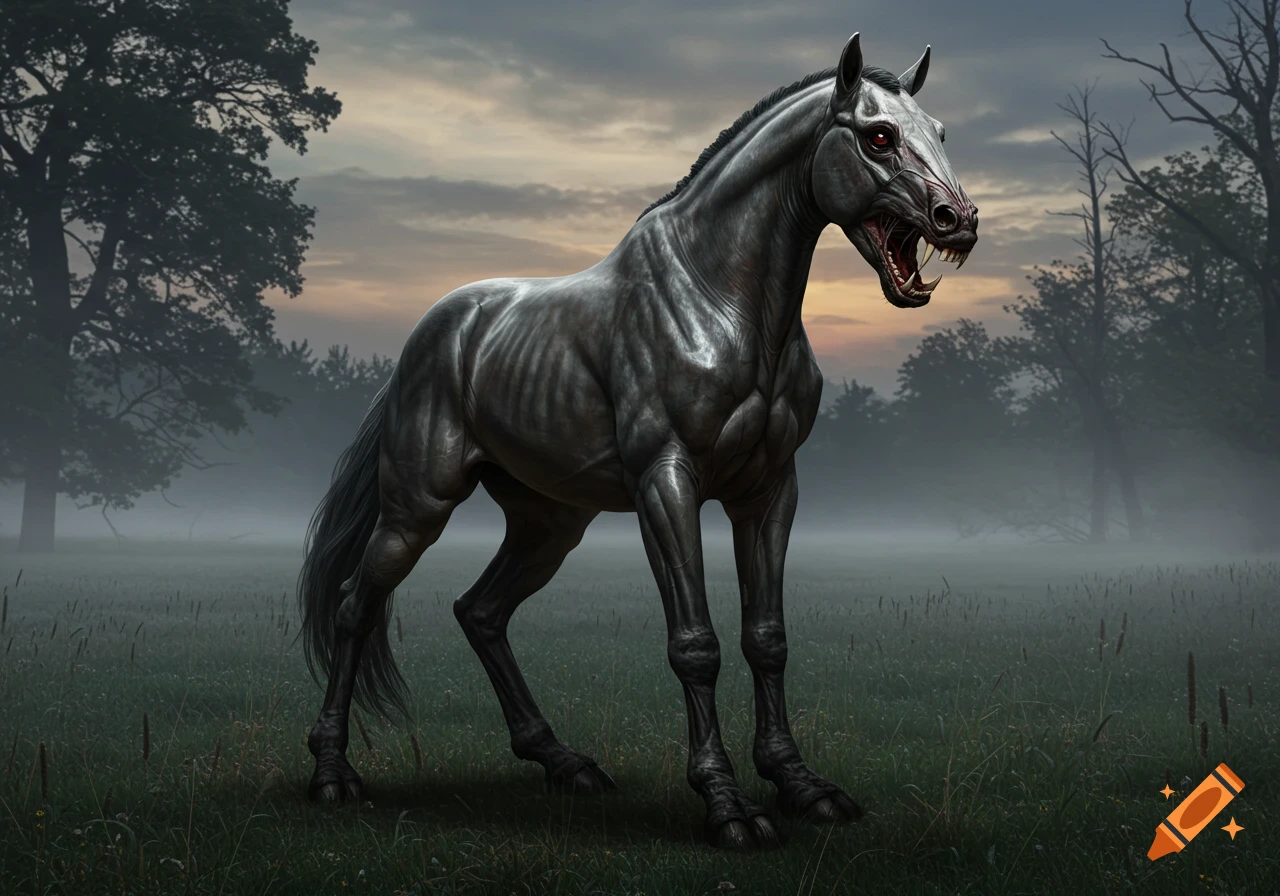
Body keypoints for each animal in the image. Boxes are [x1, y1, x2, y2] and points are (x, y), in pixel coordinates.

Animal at [297, 32, 978, 851]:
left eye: (939, 132)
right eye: (878, 136)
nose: (958, 220)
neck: (721, 301)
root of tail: (431, 335)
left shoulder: (768, 490)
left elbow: (767, 636)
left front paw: (801, 784)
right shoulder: (668, 483)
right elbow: (696, 644)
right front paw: (728, 806)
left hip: (549, 523)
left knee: (480, 611)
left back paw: (563, 763)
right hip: (415, 509)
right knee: (353, 606)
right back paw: (332, 774)